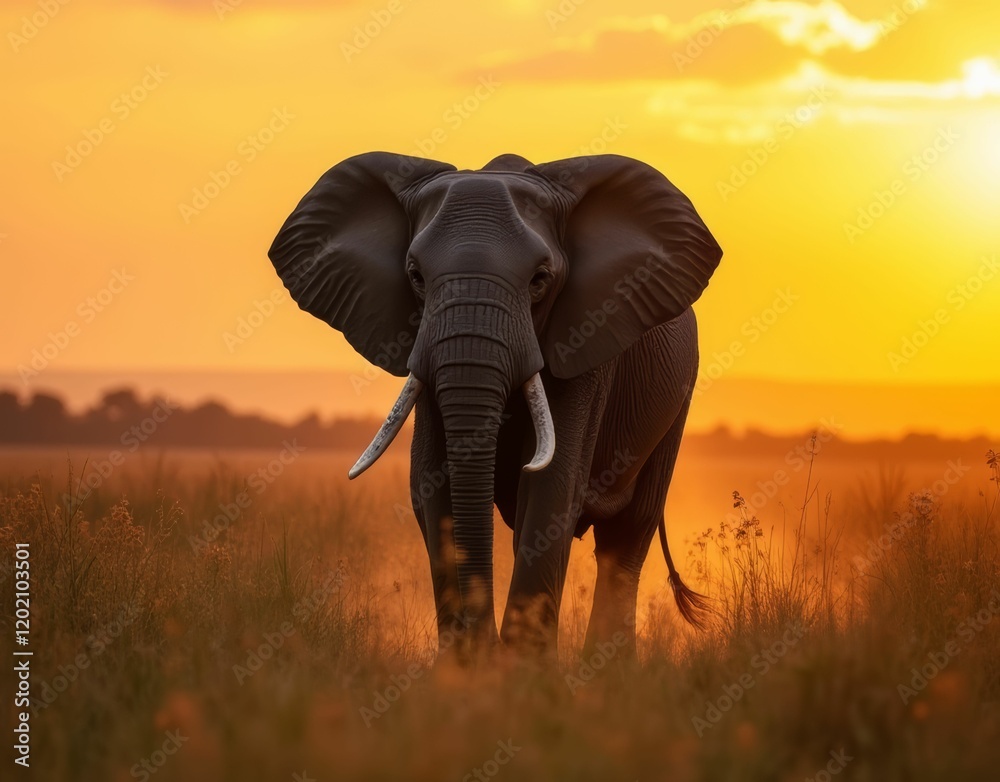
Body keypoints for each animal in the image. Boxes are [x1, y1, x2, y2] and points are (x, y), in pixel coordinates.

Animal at [268, 151, 723, 662]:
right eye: (415, 276)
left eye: (540, 280)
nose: (485, 645)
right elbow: (430, 484)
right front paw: (464, 670)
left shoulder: (584, 341)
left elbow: (551, 487)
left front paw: (522, 673)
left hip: (678, 400)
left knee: (626, 537)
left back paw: (606, 669)